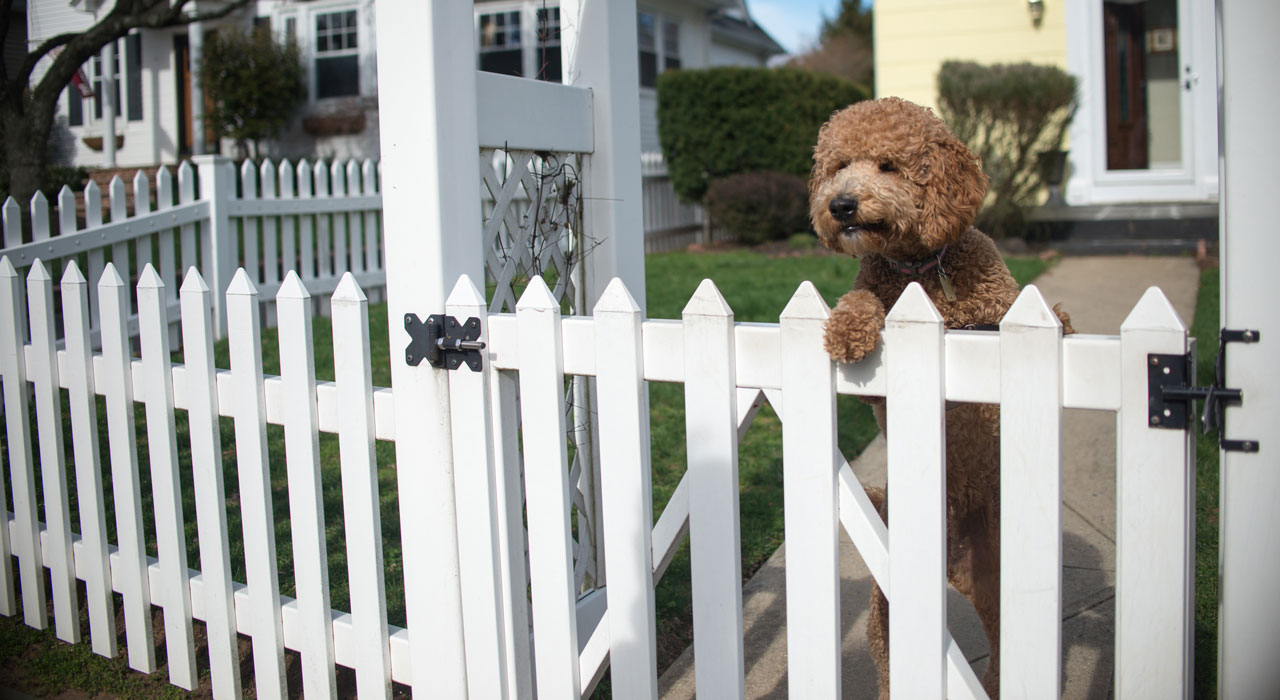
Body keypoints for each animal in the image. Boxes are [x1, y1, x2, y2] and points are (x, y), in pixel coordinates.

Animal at [808, 98, 1070, 700]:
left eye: (888, 165)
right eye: (838, 165)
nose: (840, 205)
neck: (925, 272)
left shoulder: (998, 307)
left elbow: (1024, 308)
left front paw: (1062, 319)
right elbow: (860, 299)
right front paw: (848, 328)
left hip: (997, 583)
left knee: (999, 652)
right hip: (890, 608)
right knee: (891, 668)